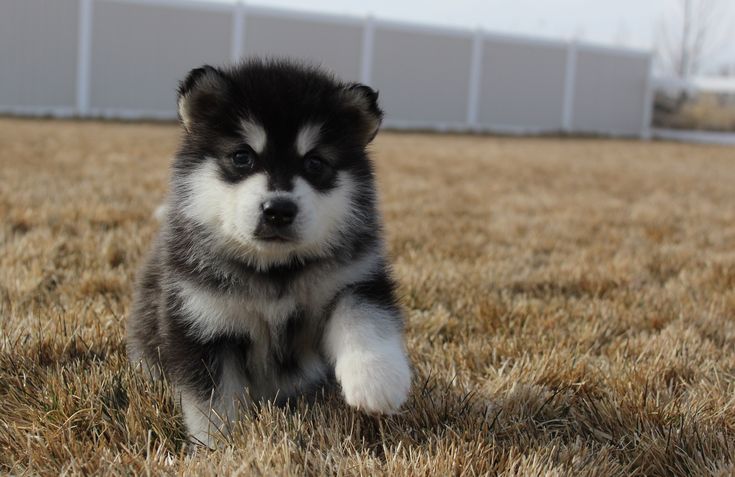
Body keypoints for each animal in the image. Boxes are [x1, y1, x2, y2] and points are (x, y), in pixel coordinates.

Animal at [127, 59, 414, 446]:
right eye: (242, 157)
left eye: (314, 163)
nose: (278, 210)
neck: (276, 271)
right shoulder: (200, 318)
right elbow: (213, 402)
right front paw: (222, 446)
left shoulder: (353, 280)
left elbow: (363, 317)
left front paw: (377, 380)